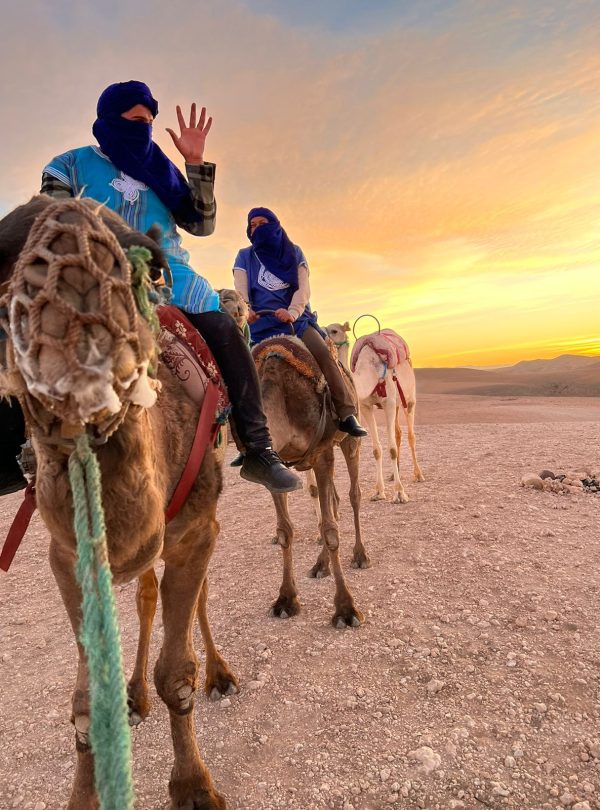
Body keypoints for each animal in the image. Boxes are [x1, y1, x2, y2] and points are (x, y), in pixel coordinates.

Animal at [0, 196, 236, 810]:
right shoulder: (66, 557)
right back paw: (134, 693)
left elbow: (176, 672)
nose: (76, 283)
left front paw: (194, 785)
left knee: (197, 595)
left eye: (150, 267)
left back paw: (220, 673)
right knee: (146, 594)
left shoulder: (195, 531)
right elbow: (87, 702)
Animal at [250, 321, 369, 628]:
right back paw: (320, 565)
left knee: (353, 495)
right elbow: (285, 531)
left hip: (349, 440)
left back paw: (360, 555)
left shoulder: (321, 454)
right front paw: (286, 600)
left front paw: (346, 609)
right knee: (334, 501)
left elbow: (329, 529)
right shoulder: (275, 470)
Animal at [326, 322, 424, 504]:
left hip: (409, 399)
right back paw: (393, 474)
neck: (369, 371)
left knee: (410, 435)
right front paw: (378, 492)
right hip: (397, 404)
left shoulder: (389, 403)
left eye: (334, 331)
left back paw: (418, 474)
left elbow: (391, 448)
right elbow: (376, 449)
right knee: (398, 433)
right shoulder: (366, 406)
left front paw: (399, 493)